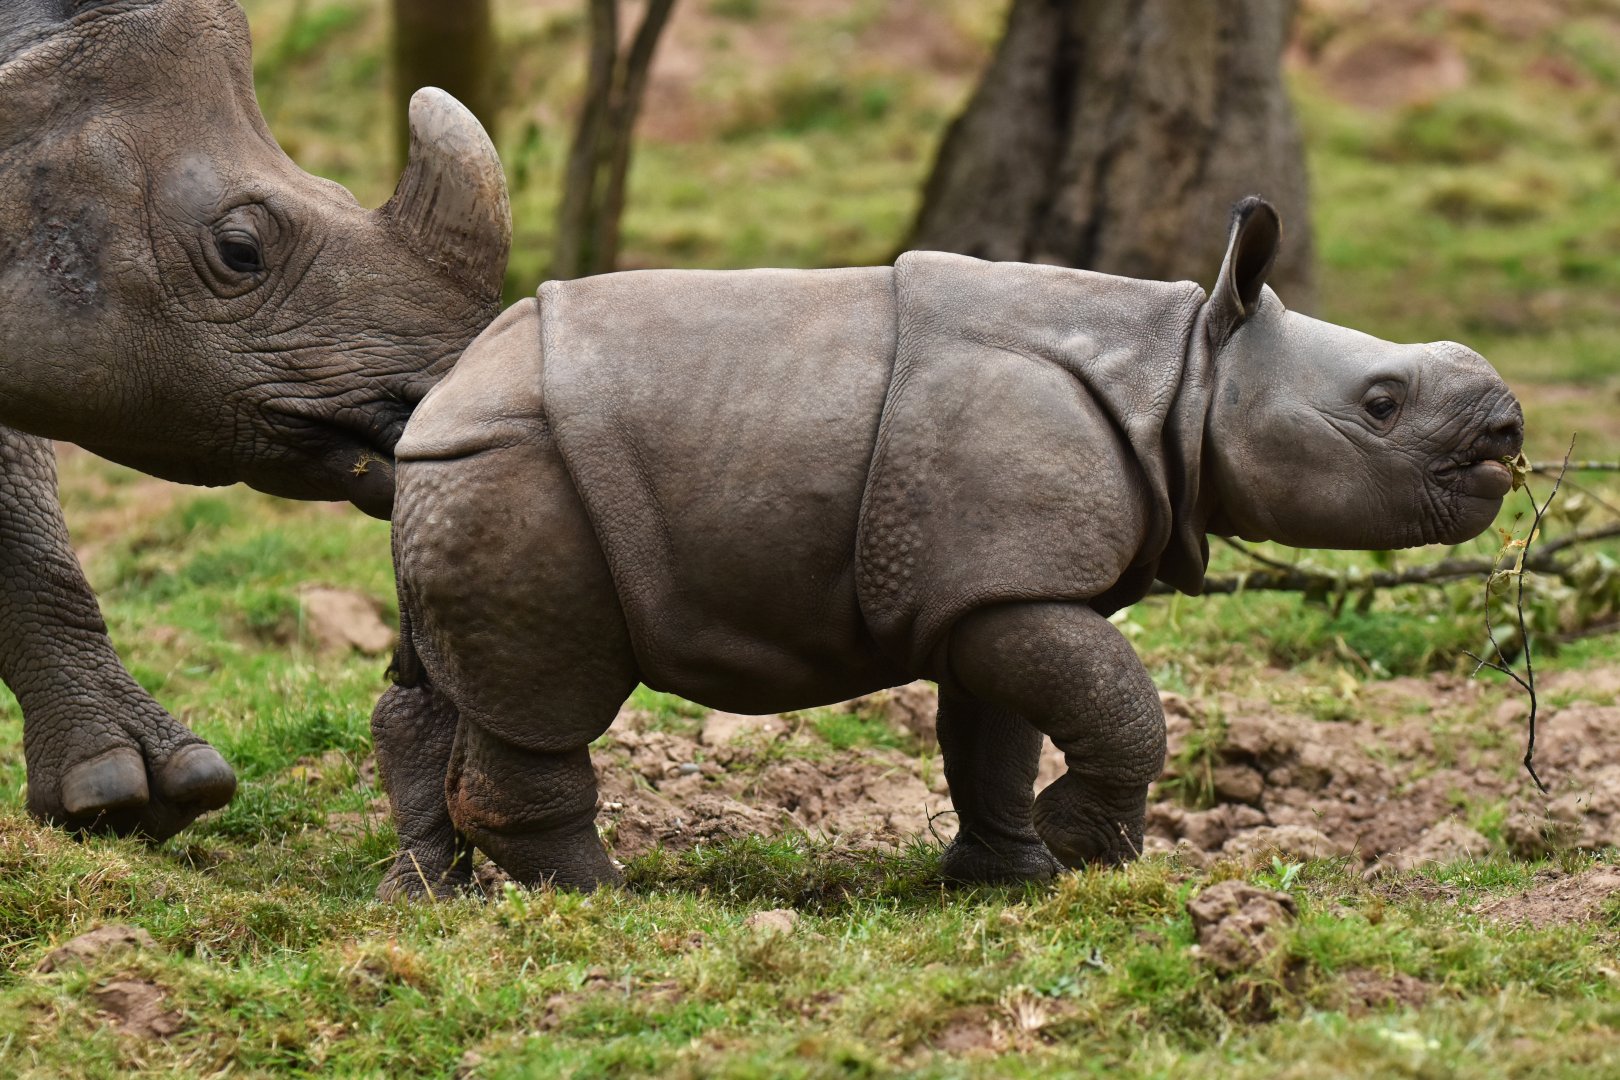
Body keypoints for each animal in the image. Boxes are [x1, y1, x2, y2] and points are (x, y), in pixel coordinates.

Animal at [372, 198, 1523, 896]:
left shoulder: (991, 583)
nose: (1509, 430)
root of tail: (444, 397)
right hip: (523, 470)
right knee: (549, 692)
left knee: (440, 681)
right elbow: (1123, 706)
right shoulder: (1009, 581)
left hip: (464, 471)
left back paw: (433, 894)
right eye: (1382, 404)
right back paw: (604, 895)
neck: (1187, 374)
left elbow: (997, 735)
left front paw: (1009, 878)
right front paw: (1088, 852)